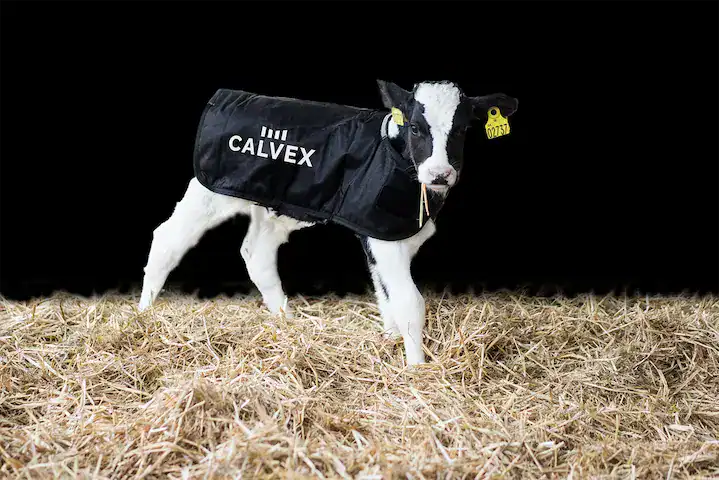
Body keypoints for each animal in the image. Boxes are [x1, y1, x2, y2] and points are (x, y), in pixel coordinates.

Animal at [138, 79, 518, 366]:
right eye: (415, 127)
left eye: (463, 129)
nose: (440, 174)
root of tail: (225, 96)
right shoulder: (383, 238)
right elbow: (410, 302)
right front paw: (417, 370)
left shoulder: (377, 232)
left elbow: (386, 295)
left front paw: (391, 342)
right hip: (211, 192)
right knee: (167, 241)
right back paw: (143, 316)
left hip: (274, 206)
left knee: (257, 253)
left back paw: (286, 325)